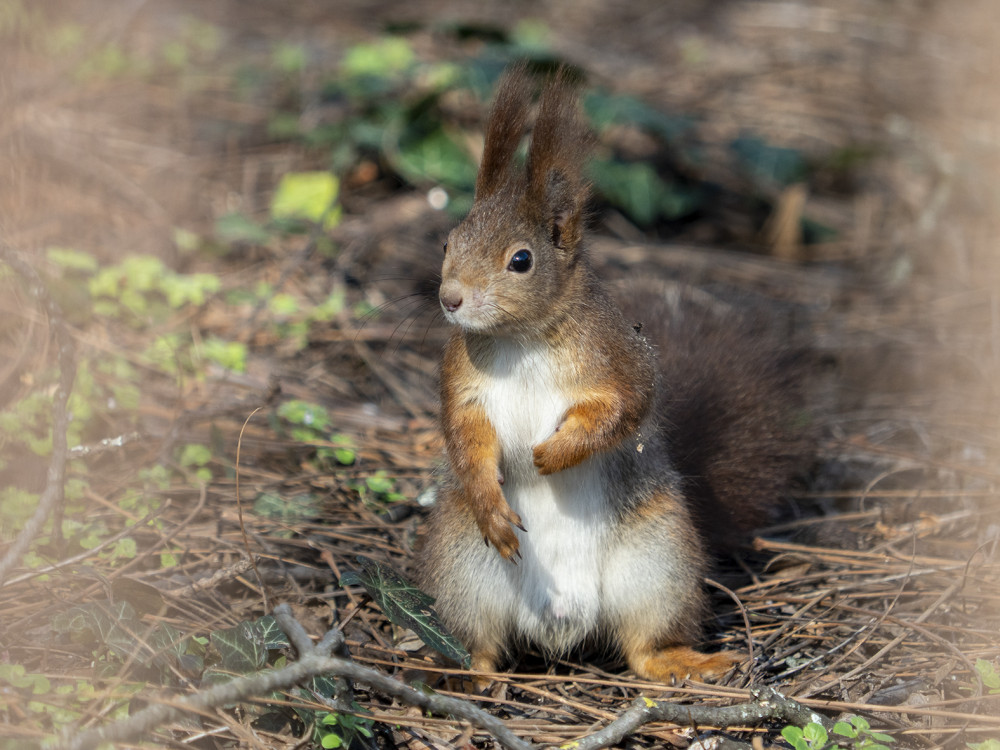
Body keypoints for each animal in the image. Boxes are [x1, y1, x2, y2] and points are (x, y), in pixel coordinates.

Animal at [414, 66, 812, 688]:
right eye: (450, 240)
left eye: (521, 260)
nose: (450, 299)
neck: (521, 339)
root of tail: (560, 622)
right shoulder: (462, 384)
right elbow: (465, 439)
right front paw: (493, 501)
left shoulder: (620, 359)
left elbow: (624, 407)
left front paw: (552, 454)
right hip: (463, 569)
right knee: (480, 642)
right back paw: (467, 674)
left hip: (658, 561)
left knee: (644, 647)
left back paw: (689, 662)